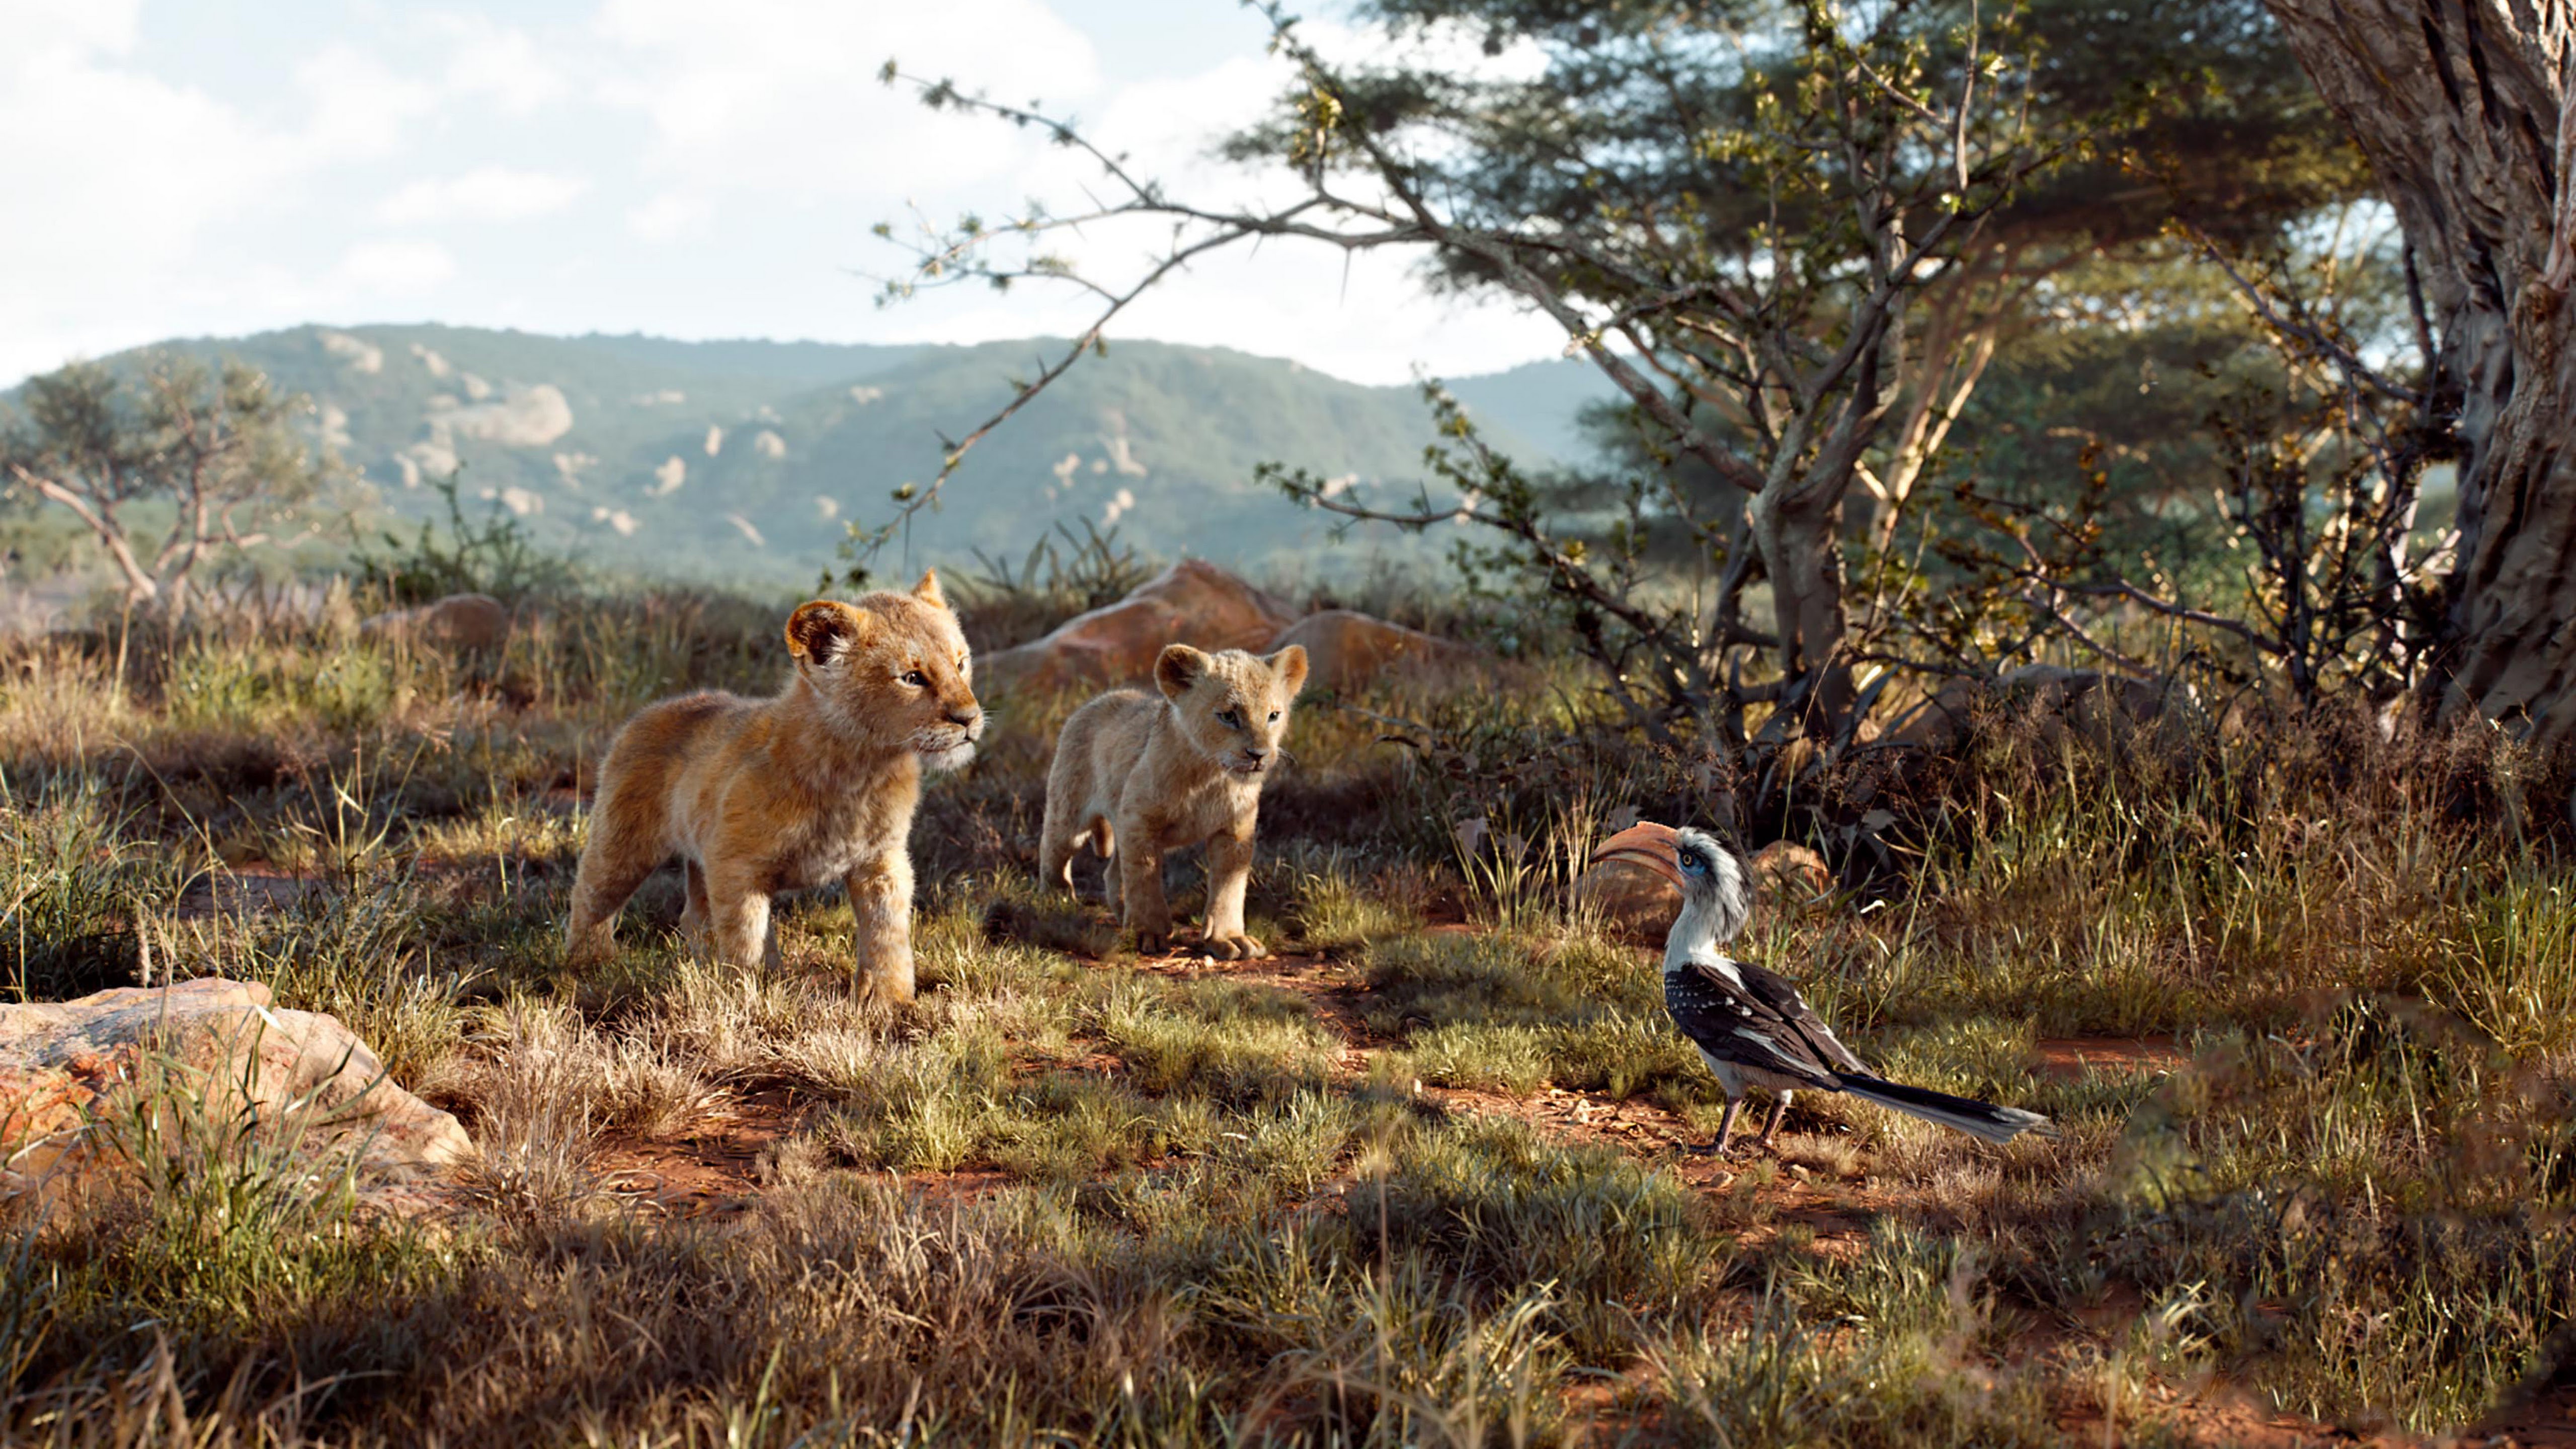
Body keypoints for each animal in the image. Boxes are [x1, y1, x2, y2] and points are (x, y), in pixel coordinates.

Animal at [563, 571, 981, 1002]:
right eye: (913, 678)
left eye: (961, 663)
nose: (969, 718)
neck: (860, 772)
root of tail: (649, 711)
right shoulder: (736, 865)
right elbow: (746, 938)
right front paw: (748, 994)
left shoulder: (882, 861)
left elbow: (888, 935)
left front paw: (889, 1001)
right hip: (623, 844)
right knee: (591, 897)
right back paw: (588, 965)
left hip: (697, 853)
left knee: (694, 916)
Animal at [1038, 642, 1308, 957]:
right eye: (1229, 716)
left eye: (1274, 715)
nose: (1259, 755)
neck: (1210, 777)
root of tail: (1099, 699)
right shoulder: (1139, 821)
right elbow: (1144, 878)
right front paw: (1148, 934)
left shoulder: (1235, 830)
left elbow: (1230, 887)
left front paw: (1229, 938)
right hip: (1070, 811)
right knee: (1054, 848)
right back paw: (1056, 900)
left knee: (1112, 874)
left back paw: (1122, 913)